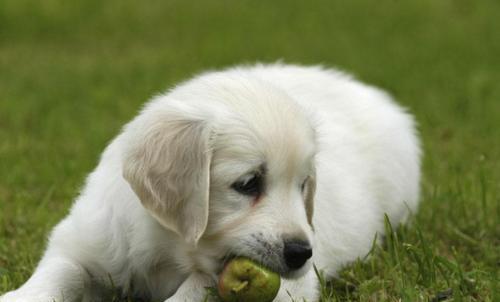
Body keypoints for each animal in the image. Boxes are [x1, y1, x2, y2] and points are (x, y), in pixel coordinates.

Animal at [1, 64, 420, 302]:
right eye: (248, 183)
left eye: (303, 186)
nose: (303, 253)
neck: (168, 247)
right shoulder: (86, 240)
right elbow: (58, 272)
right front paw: (20, 296)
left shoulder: (289, 288)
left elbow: (194, 290)